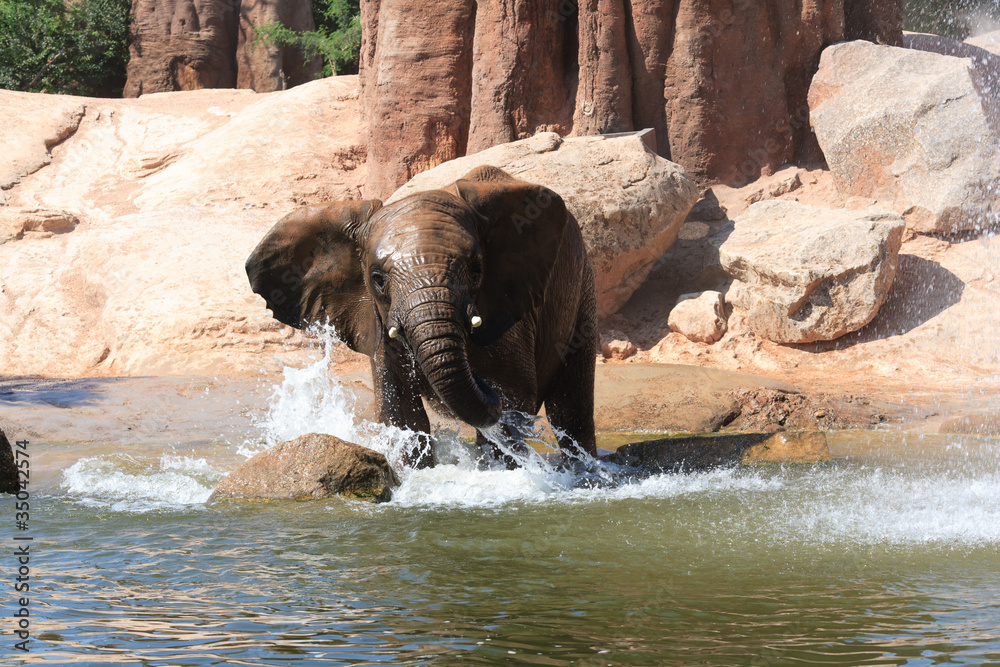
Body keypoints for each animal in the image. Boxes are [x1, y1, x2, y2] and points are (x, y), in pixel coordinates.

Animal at [245, 166, 597, 466]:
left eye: (476, 270)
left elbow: (513, 401)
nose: (482, 382)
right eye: (377, 278)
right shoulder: (379, 322)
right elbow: (400, 410)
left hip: (583, 283)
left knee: (571, 407)